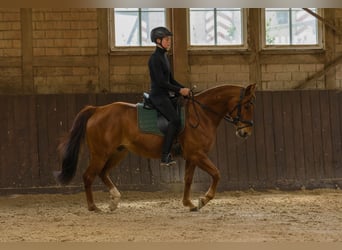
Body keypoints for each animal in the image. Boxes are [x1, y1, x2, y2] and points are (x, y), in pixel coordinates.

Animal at [54, 83, 256, 211]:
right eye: (246, 105)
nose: (246, 132)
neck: (202, 114)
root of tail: (97, 109)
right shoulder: (198, 154)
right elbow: (216, 174)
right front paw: (203, 199)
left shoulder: (192, 156)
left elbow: (188, 179)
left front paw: (189, 204)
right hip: (100, 154)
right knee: (88, 176)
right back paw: (93, 207)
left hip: (117, 153)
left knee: (102, 173)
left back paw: (114, 201)